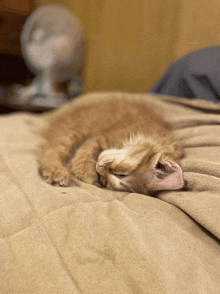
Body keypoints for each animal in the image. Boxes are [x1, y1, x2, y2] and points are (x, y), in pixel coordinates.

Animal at [38, 96, 184, 196]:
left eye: (105, 181)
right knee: (52, 151)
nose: (99, 168)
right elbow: (85, 152)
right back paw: (58, 171)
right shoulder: (100, 137)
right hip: (73, 132)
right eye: (122, 174)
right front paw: (85, 172)